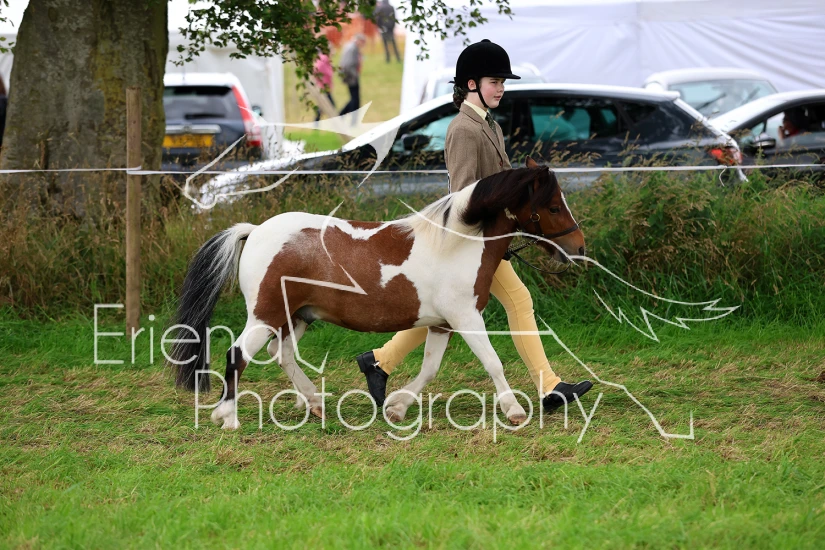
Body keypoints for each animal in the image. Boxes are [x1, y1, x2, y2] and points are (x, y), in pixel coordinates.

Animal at [169, 158, 585, 429]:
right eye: (552, 206)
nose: (578, 247)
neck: (459, 242)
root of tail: (254, 231)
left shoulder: (442, 324)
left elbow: (430, 369)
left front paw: (396, 408)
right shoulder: (466, 317)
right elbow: (493, 362)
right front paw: (514, 411)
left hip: (293, 317)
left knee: (281, 354)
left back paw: (316, 405)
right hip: (266, 315)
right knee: (237, 354)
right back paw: (228, 417)